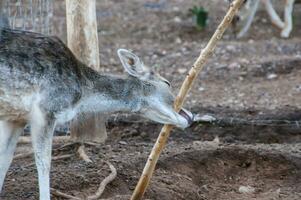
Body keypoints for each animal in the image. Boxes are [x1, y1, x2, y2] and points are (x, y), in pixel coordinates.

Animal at [0, 27, 192, 200]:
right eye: (167, 83)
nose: (190, 116)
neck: (81, 92)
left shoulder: (16, 118)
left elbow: (5, 159)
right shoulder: (46, 109)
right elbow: (44, 162)